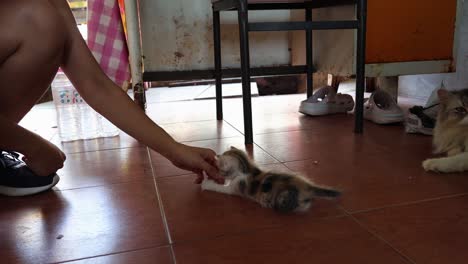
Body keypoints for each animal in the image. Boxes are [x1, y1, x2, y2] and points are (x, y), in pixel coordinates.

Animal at [201, 147, 340, 213]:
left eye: (221, 168)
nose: (217, 155)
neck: (247, 168)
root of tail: (307, 187)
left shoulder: (235, 187)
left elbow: (220, 188)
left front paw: (205, 183)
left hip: (283, 199)